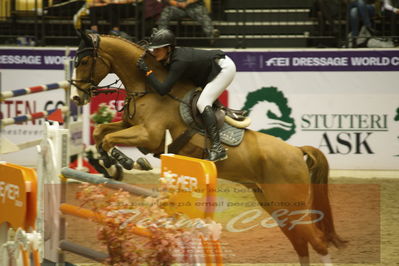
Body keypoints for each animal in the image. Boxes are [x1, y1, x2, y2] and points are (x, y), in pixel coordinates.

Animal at [71, 32, 346, 264]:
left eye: (84, 61)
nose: (76, 98)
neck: (148, 87)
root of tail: (297, 151)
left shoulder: (149, 136)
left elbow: (109, 139)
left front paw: (125, 162)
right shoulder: (131, 126)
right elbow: (101, 132)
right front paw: (110, 166)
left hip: (291, 204)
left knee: (317, 241)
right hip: (275, 205)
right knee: (300, 242)